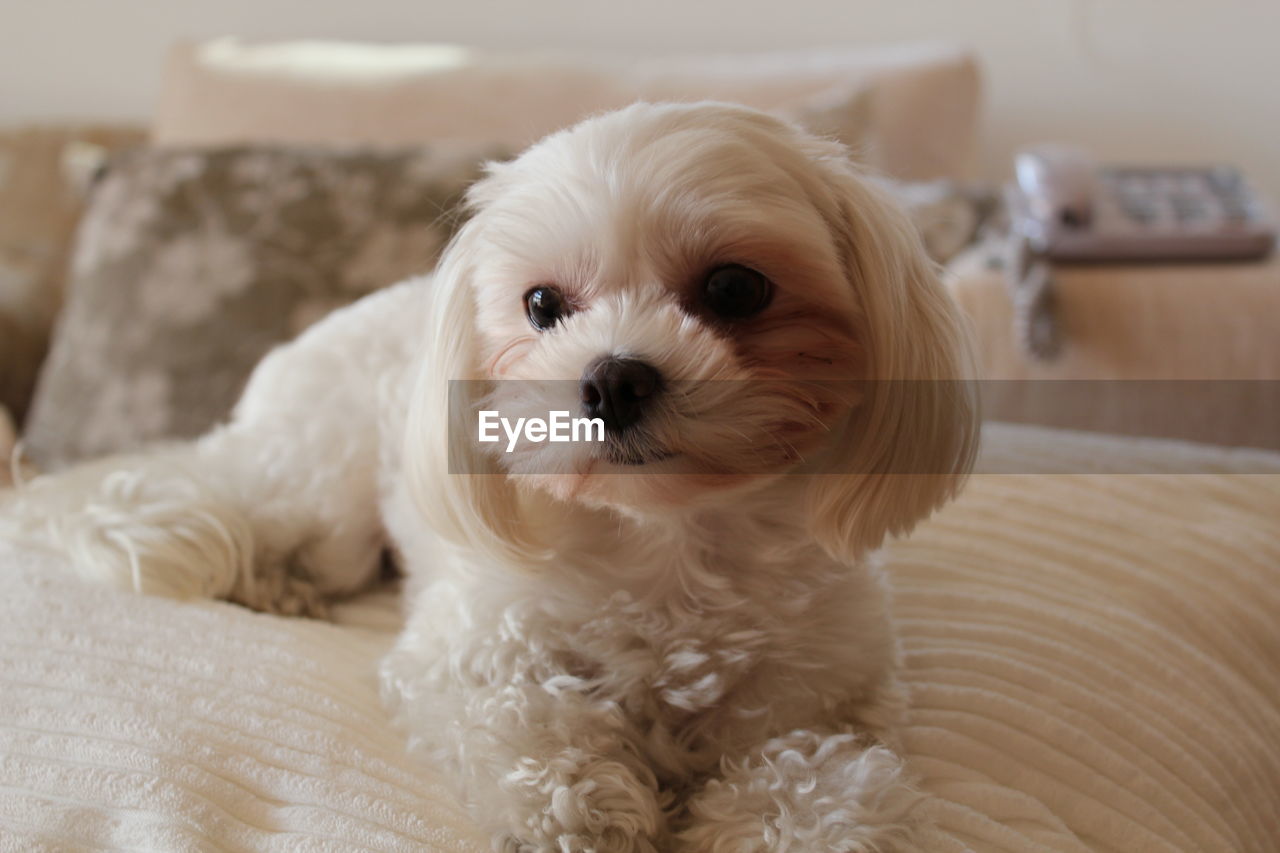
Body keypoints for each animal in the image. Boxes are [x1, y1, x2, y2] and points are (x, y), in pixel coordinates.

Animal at [2, 103, 977, 845]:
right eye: (542, 305)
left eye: (737, 288)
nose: (614, 378)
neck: (666, 542)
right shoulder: (465, 652)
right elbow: (526, 720)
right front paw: (586, 808)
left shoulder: (831, 703)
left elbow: (817, 780)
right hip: (318, 494)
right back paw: (275, 580)